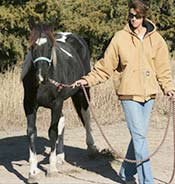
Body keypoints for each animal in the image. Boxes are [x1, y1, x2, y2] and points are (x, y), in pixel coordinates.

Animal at [21, 24, 98, 183]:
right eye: (32, 46)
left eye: (50, 47)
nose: (41, 76)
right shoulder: (29, 105)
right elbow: (32, 132)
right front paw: (33, 173)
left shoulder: (56, 103)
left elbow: (53, 131)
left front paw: (52, 169)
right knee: (62, 120)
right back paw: (60, 156)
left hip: (82, 91)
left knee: (86, 116)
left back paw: (91, 148)